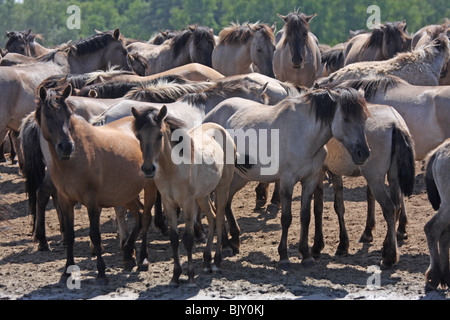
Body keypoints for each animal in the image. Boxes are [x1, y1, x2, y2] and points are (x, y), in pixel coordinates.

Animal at [34, 84, 156, 284]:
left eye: (68, 115)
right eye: (47, 115)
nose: (66, 146)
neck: (73, 159)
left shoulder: (91, 200)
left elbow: (95, 235)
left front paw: (101, 271)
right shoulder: (65, 200)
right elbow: (70, 234)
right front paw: (67, 270)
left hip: (149, 187)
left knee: (145, 217)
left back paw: (143, 259)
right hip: (125, 193)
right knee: (138, 215)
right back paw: (128, 255)